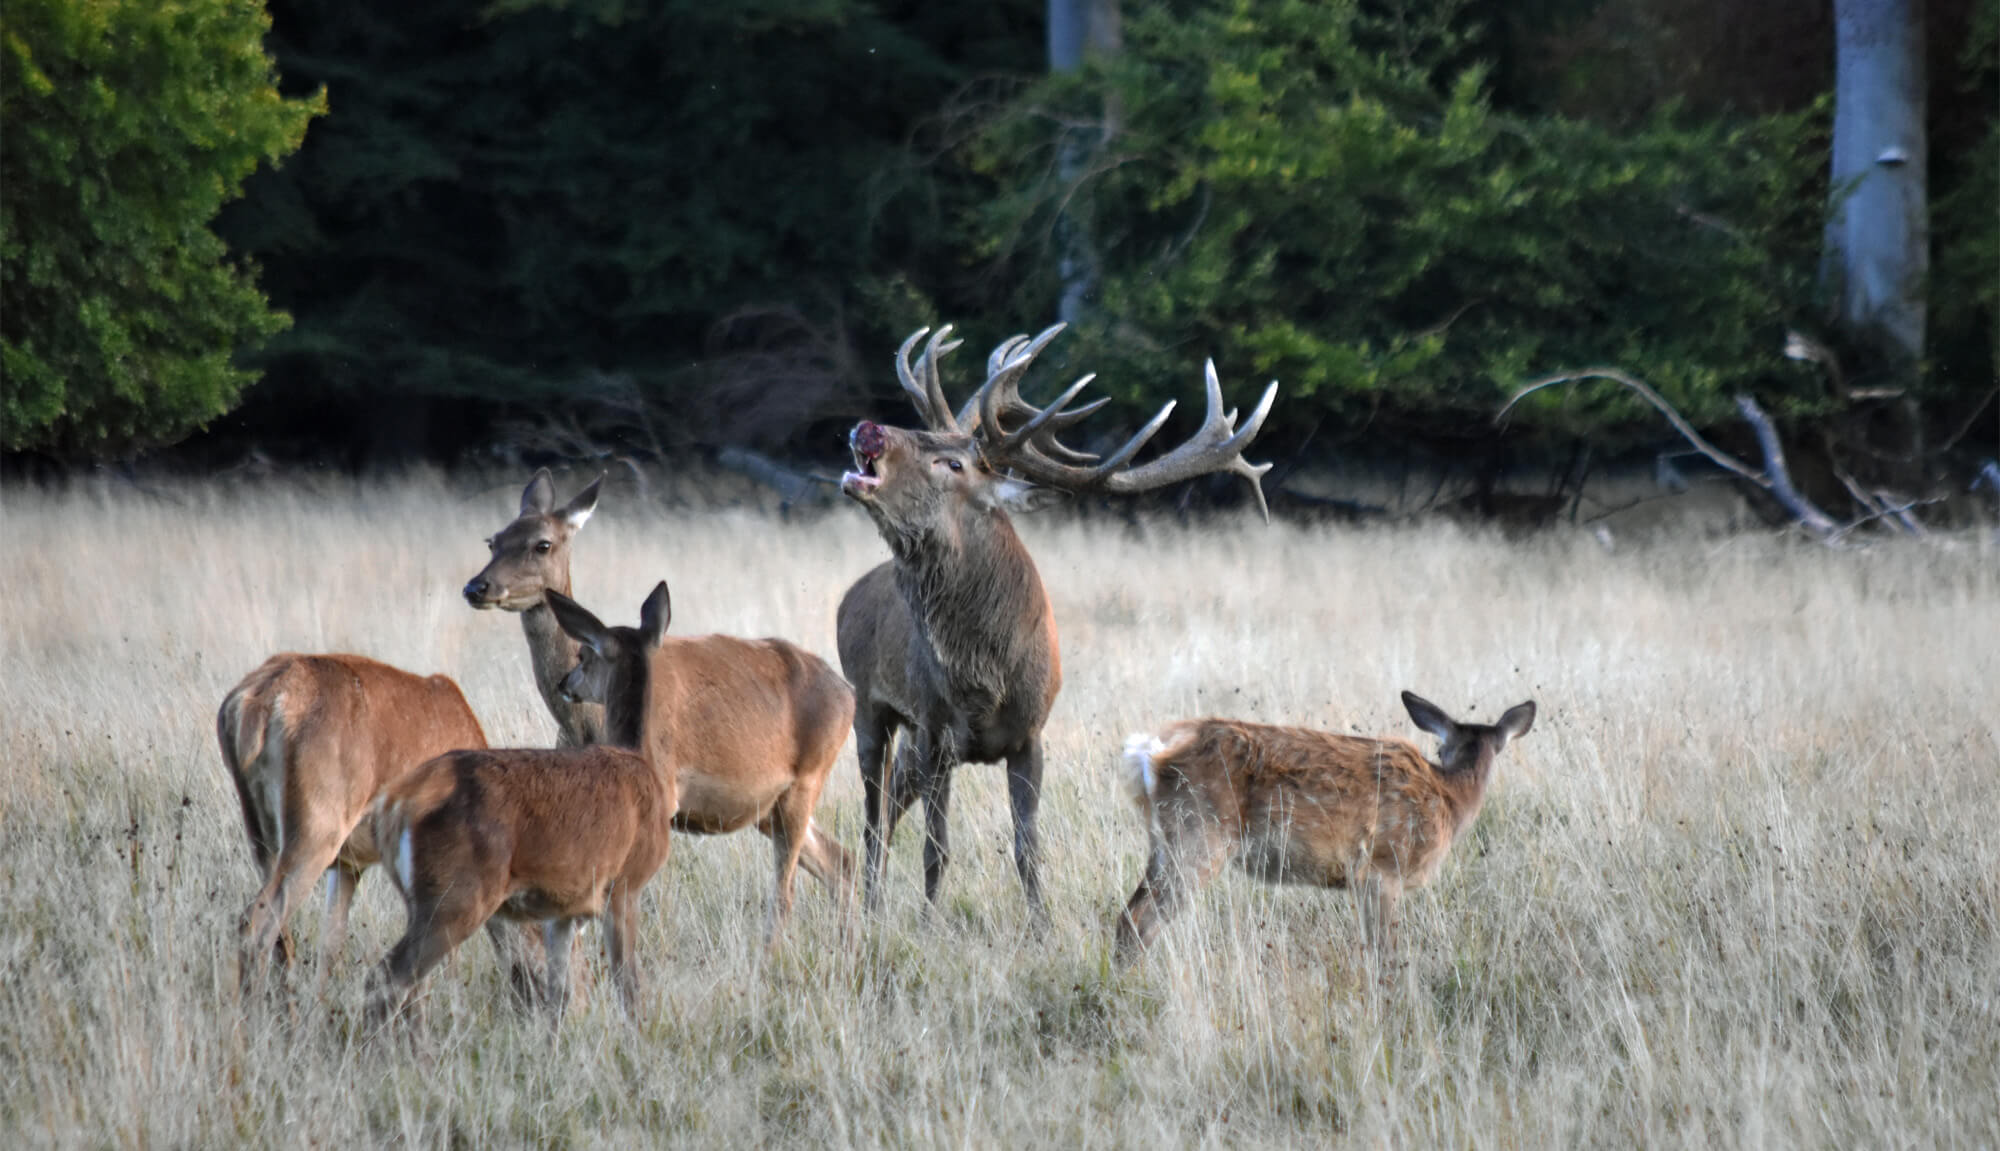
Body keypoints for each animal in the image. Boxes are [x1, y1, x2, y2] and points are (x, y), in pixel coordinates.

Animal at [1120, 691, 1536, 971]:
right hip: (1199, 834)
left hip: (1165, 841)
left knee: (1127, 913)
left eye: (1443, 747)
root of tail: (1150, 752)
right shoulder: (1381, 868)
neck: (1449, 799)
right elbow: (1383, 952)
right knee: (1141, 919)